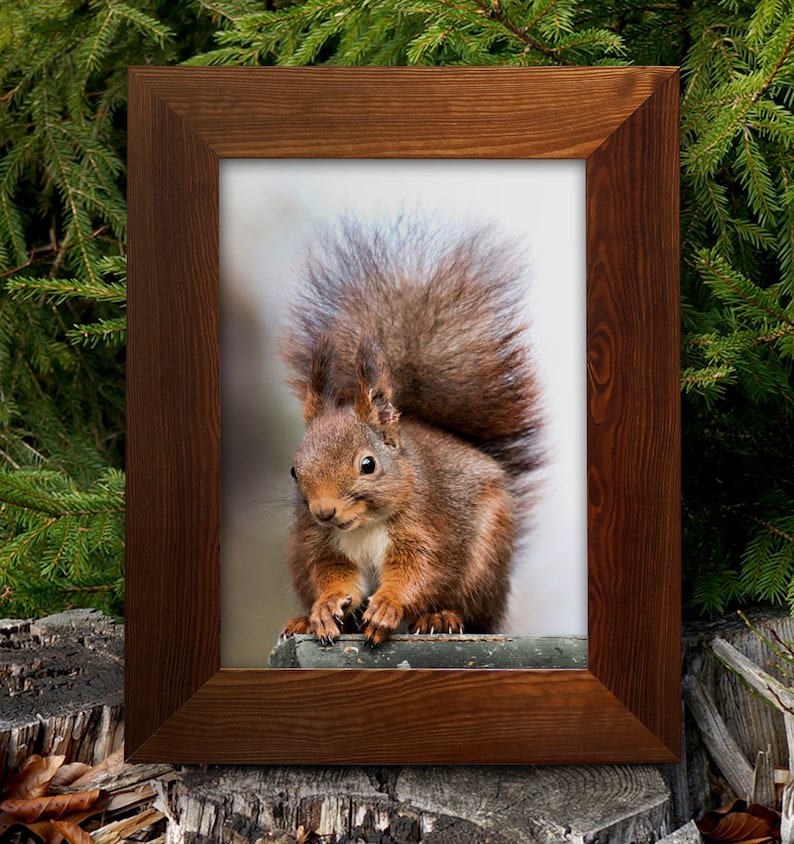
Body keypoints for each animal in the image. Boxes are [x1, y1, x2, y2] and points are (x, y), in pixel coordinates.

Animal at [278, 215, 541, 646]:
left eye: (368, 465)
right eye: (294, 470)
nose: (324, 511)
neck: (365, 525)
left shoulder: (427, 527)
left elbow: (420, 571)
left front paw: (387, 606)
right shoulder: (319, 543)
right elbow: (333, 576)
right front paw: (326, 607)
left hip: (485, 567)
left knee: (472, 612)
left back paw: (441, 617)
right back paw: (303, 620)